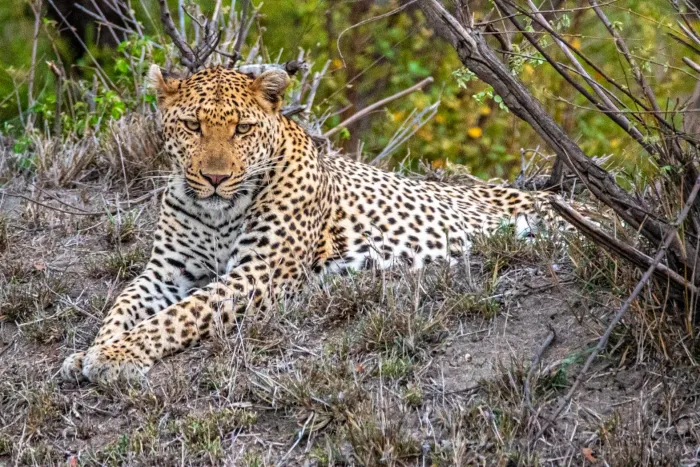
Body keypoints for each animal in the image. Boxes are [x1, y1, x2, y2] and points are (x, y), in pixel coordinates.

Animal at [61, 65, 560, 384]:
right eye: (191, 125)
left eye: (242, 129)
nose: (216, 178)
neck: (218, 211)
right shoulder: (166, 271)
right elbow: (122, 305)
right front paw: (88, 352)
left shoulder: (261, 273)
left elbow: (182, 314)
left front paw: (116, 354)